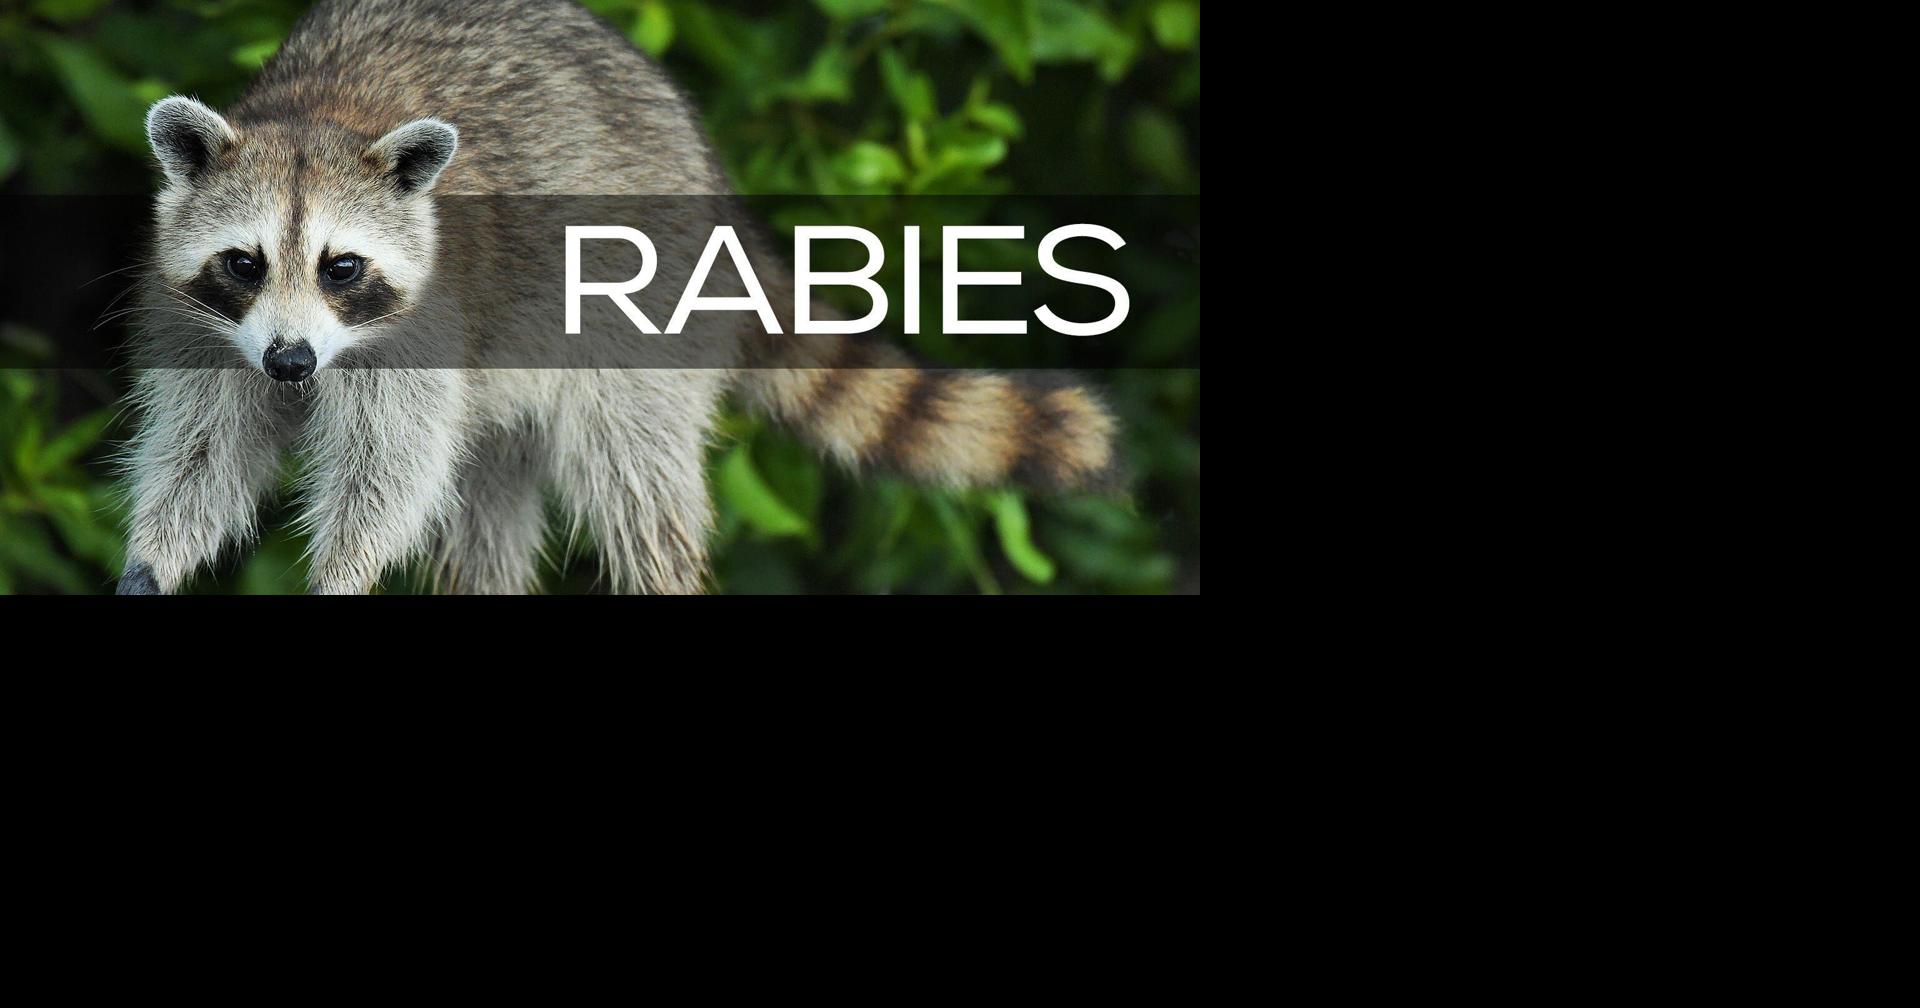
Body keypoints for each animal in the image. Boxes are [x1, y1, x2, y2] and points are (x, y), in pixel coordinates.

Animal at [117, 0, 1120, 595]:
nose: (289, 362)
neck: (317, 113)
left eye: (342, 268)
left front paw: (344, 573)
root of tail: (708, 171)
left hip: (640, 307)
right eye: (245, 263)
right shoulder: (200, 326)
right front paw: (155, 557)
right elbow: (202, 451)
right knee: (484, 511)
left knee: (633, 476)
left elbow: (389, 470)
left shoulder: (420, 331)